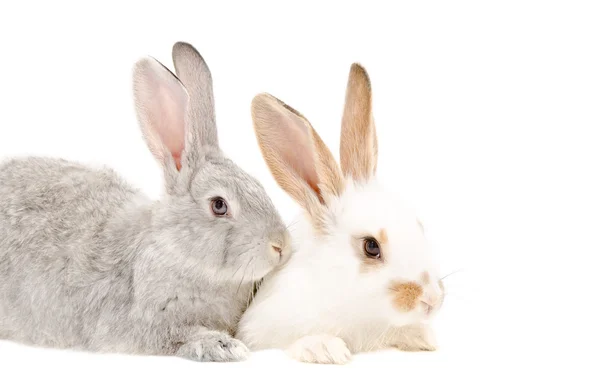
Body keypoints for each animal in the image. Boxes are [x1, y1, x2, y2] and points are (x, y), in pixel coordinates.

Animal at [0, 41, 290, 362]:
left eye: (259, 185)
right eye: (219, 205)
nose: (280, 245)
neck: (177, 252)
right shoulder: (142, 322)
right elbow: (177, 334)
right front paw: (222, 345)